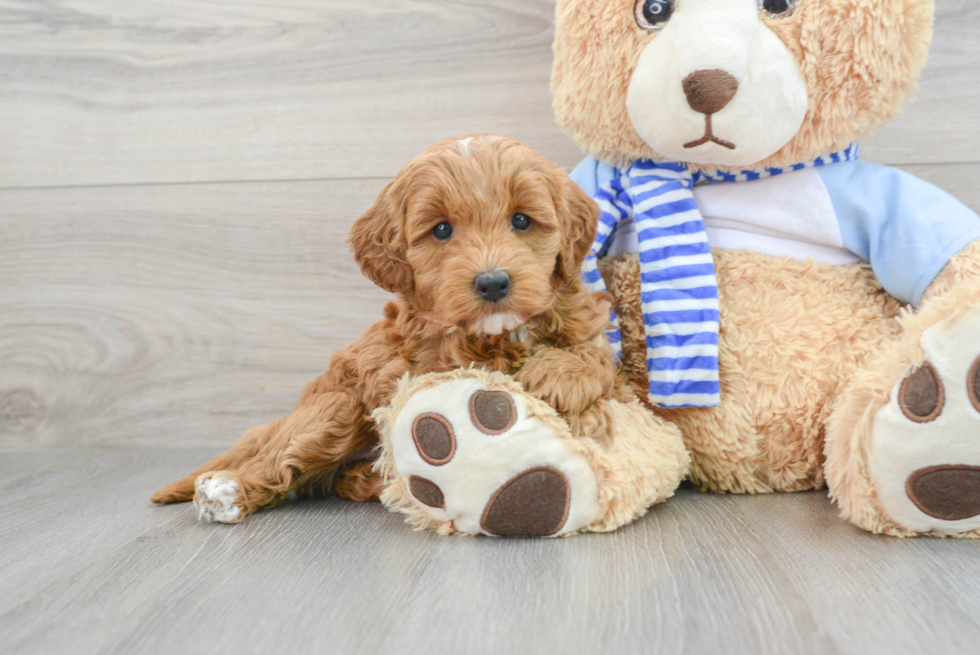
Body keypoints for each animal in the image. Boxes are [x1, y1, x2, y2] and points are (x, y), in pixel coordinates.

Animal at [149, 136, 632, 524]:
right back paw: (227, 492)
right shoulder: (426, 363)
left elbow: (592, 356)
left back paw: (371, 479)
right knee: (280, 459)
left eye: (521, 220)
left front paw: (558, 374)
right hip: (336, 407)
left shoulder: (588, 329)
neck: (501, 331)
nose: (493, 282)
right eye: (442, 230)